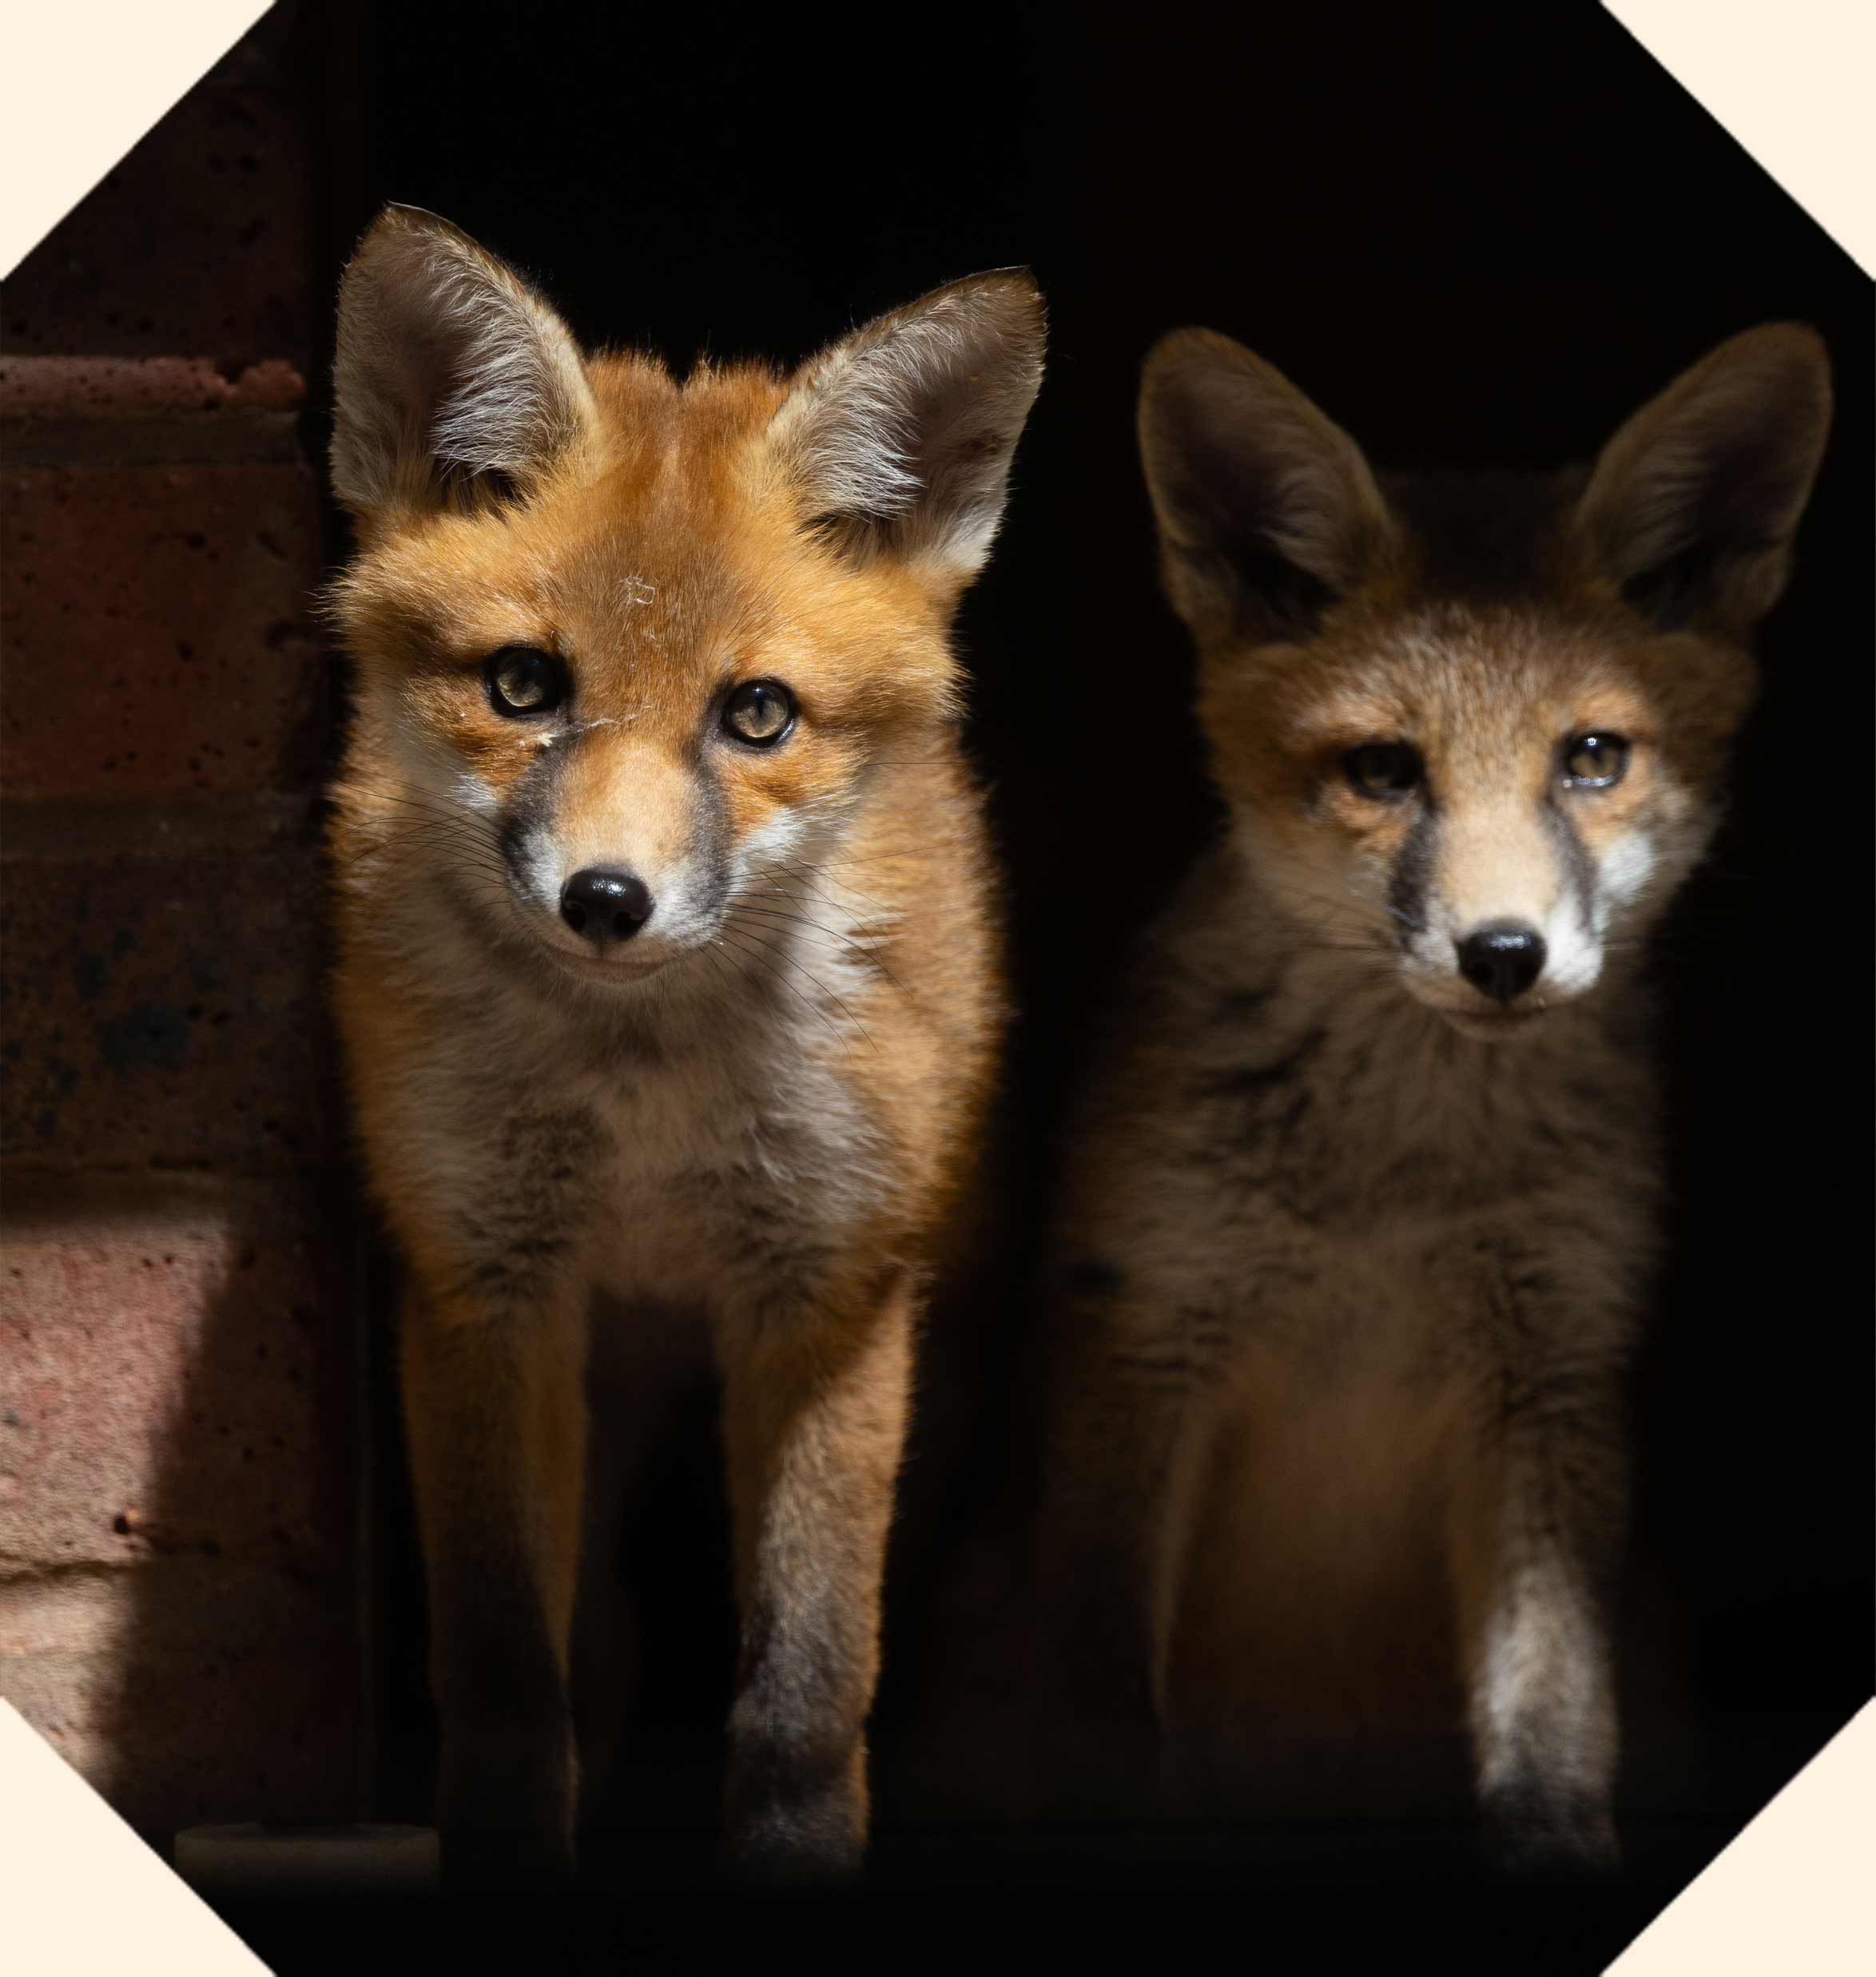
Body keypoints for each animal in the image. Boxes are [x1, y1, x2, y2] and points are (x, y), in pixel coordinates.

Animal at [322, 204, 1044, 1885]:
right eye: (523, 685)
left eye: (756, 715)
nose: (606, 901)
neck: (644, 1091)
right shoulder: (481, 1286)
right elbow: (508, 1682)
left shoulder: (827, 1294)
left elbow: (803, 1693)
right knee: (603, 1637)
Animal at [1034, 322, 1831, 1869]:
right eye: (1381, 771)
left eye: (1592, 757)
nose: (1502, 956)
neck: (1392, 1199)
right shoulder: (1146, 1335)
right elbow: (1099, 1722)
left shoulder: (1550, 1372)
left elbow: (1550, 1723)